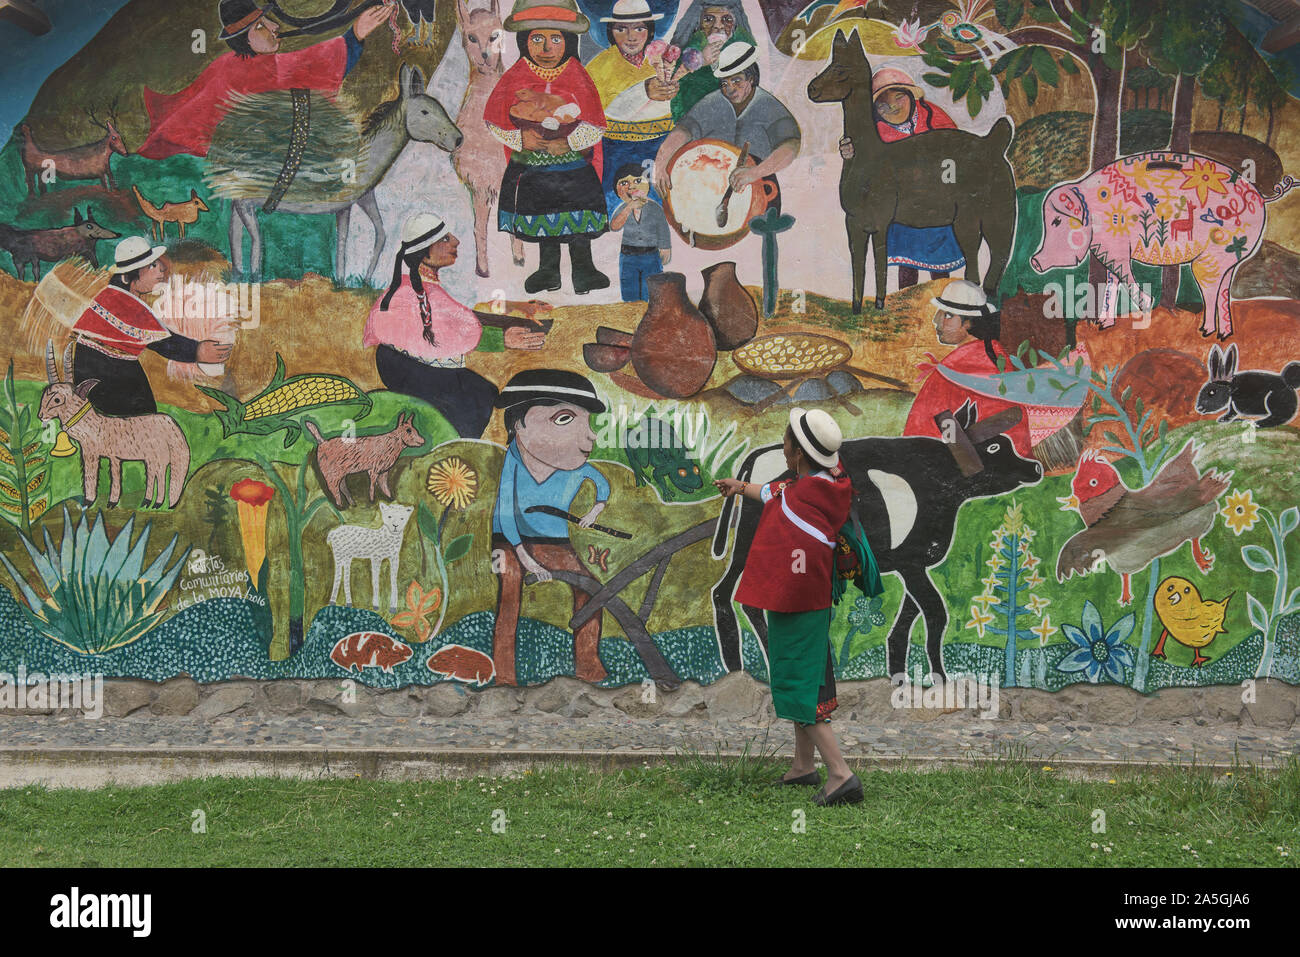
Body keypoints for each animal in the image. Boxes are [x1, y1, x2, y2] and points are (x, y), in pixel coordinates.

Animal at [717, 403, 1040, 681]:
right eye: (994, 447)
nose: (1036, 468)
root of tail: (758, 456)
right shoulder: (911, 563)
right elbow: (935, 613)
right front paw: (939, 677)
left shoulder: (916, 563)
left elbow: (907, 620)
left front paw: (899, 675)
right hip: (749, 544)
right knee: (728, 593)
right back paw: (738, 668)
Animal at [1029, 150, 1294, 340]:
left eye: (1056, 221)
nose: (1034, 260)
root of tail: (1262, 196)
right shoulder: (1108, 248)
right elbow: (1112, 282)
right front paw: (1103, 325)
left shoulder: (1116, 247)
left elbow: (1123, 274)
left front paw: (1146, 308)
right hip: (1230, 258)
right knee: (1223, 290)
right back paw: (1223, 335)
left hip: (1213, 256)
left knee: (1210, 290)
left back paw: (1206, 332)